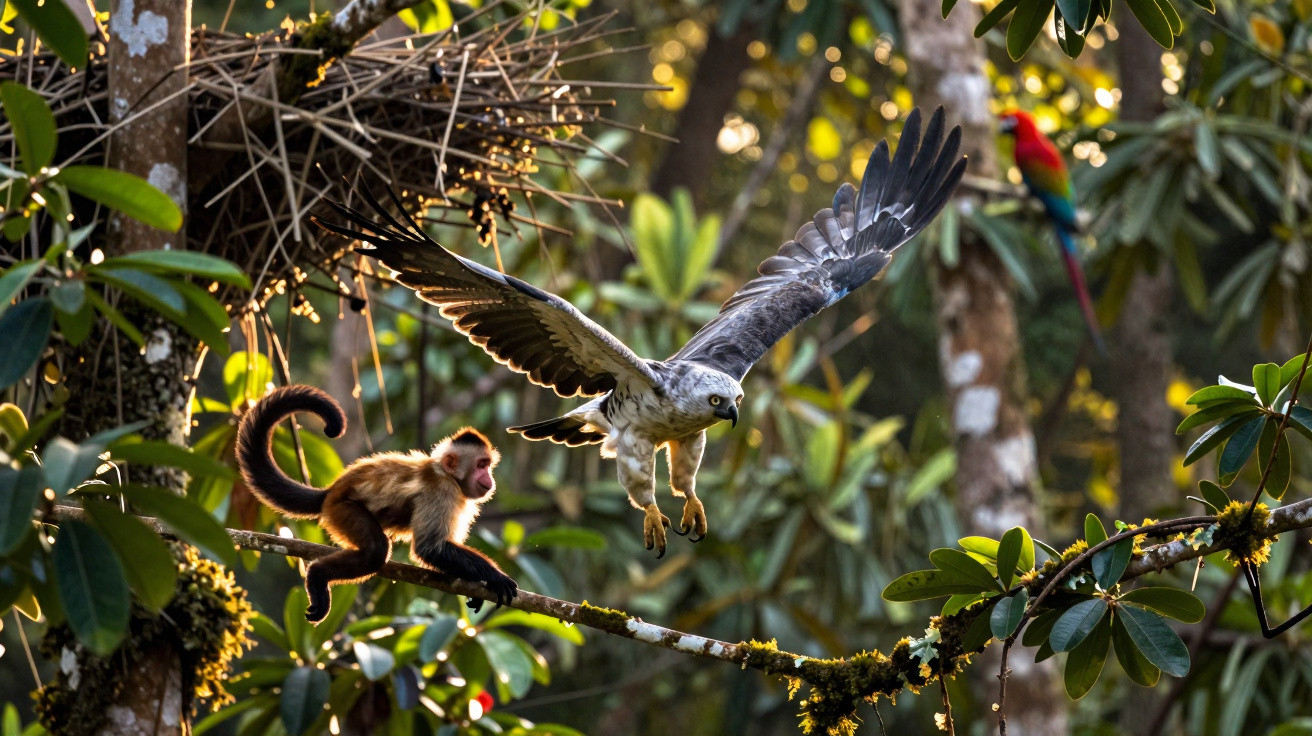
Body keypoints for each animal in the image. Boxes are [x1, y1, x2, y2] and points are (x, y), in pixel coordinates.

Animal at [235, 385, 518, 623]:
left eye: (488, 465)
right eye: (481, 465)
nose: (488, 477)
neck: (447, 475)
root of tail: (332, 490)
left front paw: (478, 589)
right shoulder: (442, 490)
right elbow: (430, 548)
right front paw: (495, 577)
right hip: (342, 510)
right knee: (376, 550)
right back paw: (318, 575)